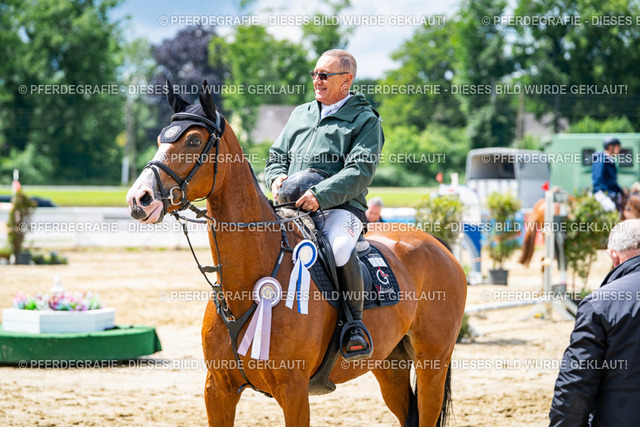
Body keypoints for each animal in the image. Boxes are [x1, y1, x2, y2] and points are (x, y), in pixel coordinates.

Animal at [126, 81, 467, 427]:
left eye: (194, 140)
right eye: (161, 139)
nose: (139, 199)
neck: (248, 285)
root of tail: (438, 246)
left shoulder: (293, 392)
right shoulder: (218, 389)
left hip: (432, 365)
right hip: (389, 367)